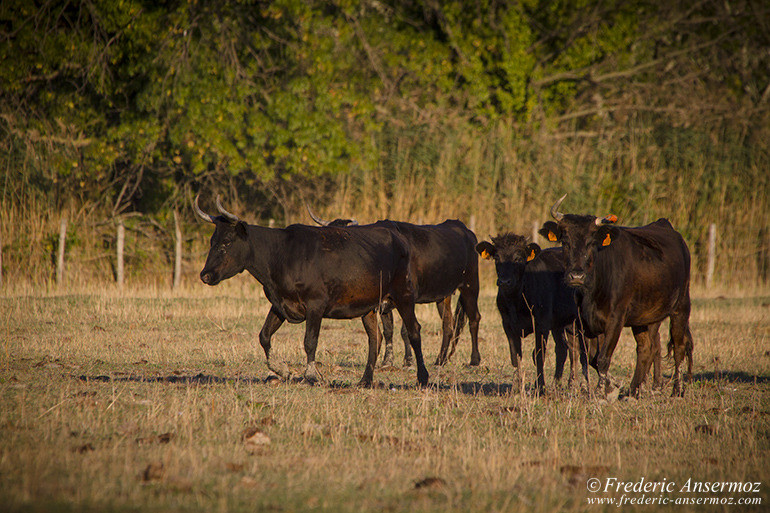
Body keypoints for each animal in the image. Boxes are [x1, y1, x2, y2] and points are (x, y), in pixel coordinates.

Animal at [192, 194, 428, 386]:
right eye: (212, 241)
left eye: (227, 242)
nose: (205, 275)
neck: (282, 254)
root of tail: (398, 236)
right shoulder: (280, 304)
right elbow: (264, 336)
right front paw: (282, 369)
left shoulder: (315, 304)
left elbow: (309, 341)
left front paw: (312, 375)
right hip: (369, 306)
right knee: (375, 338)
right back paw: (365, 380)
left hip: (404, 295)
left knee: (414, 330)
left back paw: (423, 377)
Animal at [308, 206, 480, 366]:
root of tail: (463, 228)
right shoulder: (382, 301)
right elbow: (388, 330)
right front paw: (387, 360)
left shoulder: (408, 297)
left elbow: (405, 330)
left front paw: (408, 360)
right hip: (443, 295)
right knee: (448, 325)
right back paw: (440, 360)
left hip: (471, 285)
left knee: (474, 318)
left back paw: (474, 360)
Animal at [474, 233, 588, 392]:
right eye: (496, 258)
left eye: (518, 258)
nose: (504, 282)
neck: (516, 300)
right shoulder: (508, 325)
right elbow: (515, 356)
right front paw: (517, 386)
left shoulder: (541, 324)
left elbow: (539, 355)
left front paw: (540, 387)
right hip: (561, 323)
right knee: (566, 348)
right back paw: (561, 384)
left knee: (581, 350)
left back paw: (579, 384)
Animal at [536, 194, 692, 398]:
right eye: (565, 242)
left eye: (591, 243)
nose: (576, 276)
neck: (593, 290)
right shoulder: (585, 323)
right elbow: (592, 358)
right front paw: (611, 386)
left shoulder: (616, 319)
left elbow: (603, 358)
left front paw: (603, 392)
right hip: (645, 318)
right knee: (647, 348)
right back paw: (633, 391)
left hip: (681, 307)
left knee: (679, 347)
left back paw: (677, 390)